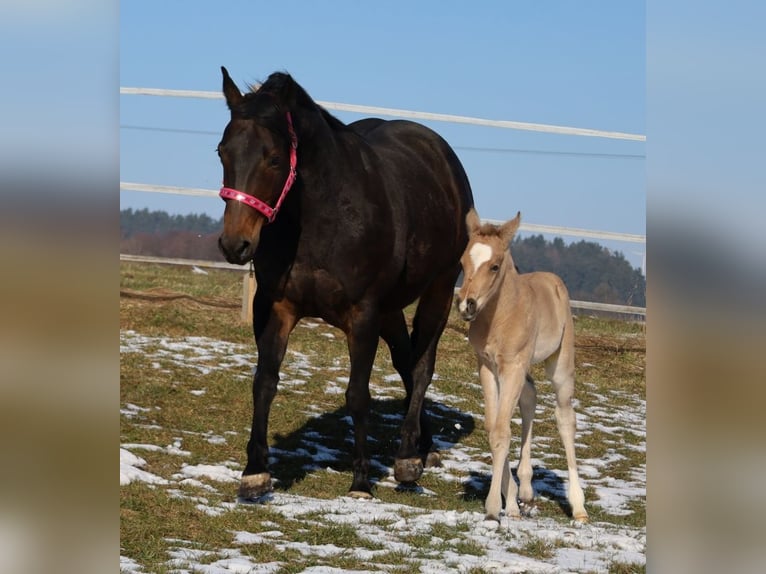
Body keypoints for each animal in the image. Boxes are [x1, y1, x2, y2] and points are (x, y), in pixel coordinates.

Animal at [216, 67, 474, 500]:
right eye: (222, 151)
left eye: (273, 158)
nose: (236, 244)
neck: (323, 218)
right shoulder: (275, 306)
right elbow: (264, 382)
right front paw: (254, 474)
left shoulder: (363, 314)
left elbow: (358, 395)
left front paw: (361, 482)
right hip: (391, 310)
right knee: (406, 362)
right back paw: (421, 449)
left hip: (437, 289)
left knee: (422, 367)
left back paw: (407, 460)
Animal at [455, 209, 588, 523]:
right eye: (462, 262)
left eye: (494, 266)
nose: (466, 305)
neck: (501, 315)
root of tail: (553, 280)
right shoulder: (487, 367)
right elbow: (493, 428)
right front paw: (512, 501)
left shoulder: (512, 366)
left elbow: (502, 431)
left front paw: (493, 508)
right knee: (529, 398)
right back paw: (526, 489)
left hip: (560, 365)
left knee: (565, 417)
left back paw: (579, 507)